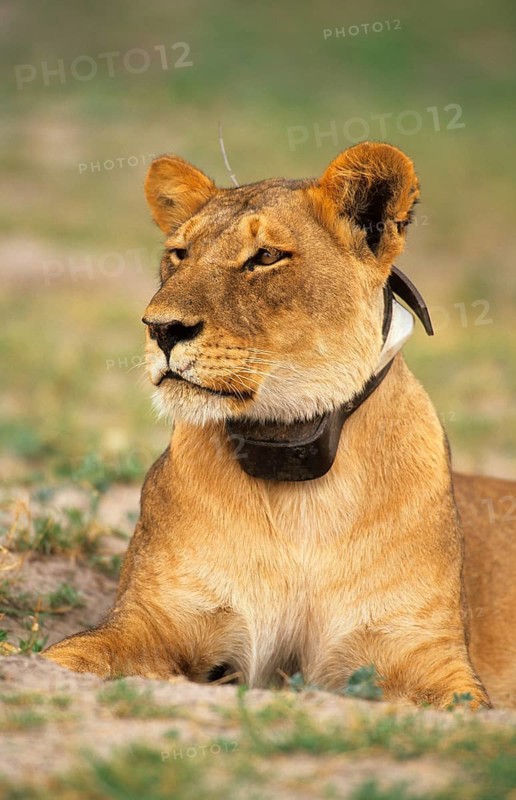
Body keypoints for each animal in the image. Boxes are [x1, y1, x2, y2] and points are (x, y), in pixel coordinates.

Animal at [43, 142, 516, 709]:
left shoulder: (430, 654)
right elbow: (62, 657)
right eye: (180, 253)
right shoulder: (146, 619)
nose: (161, 328)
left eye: (266, 257)